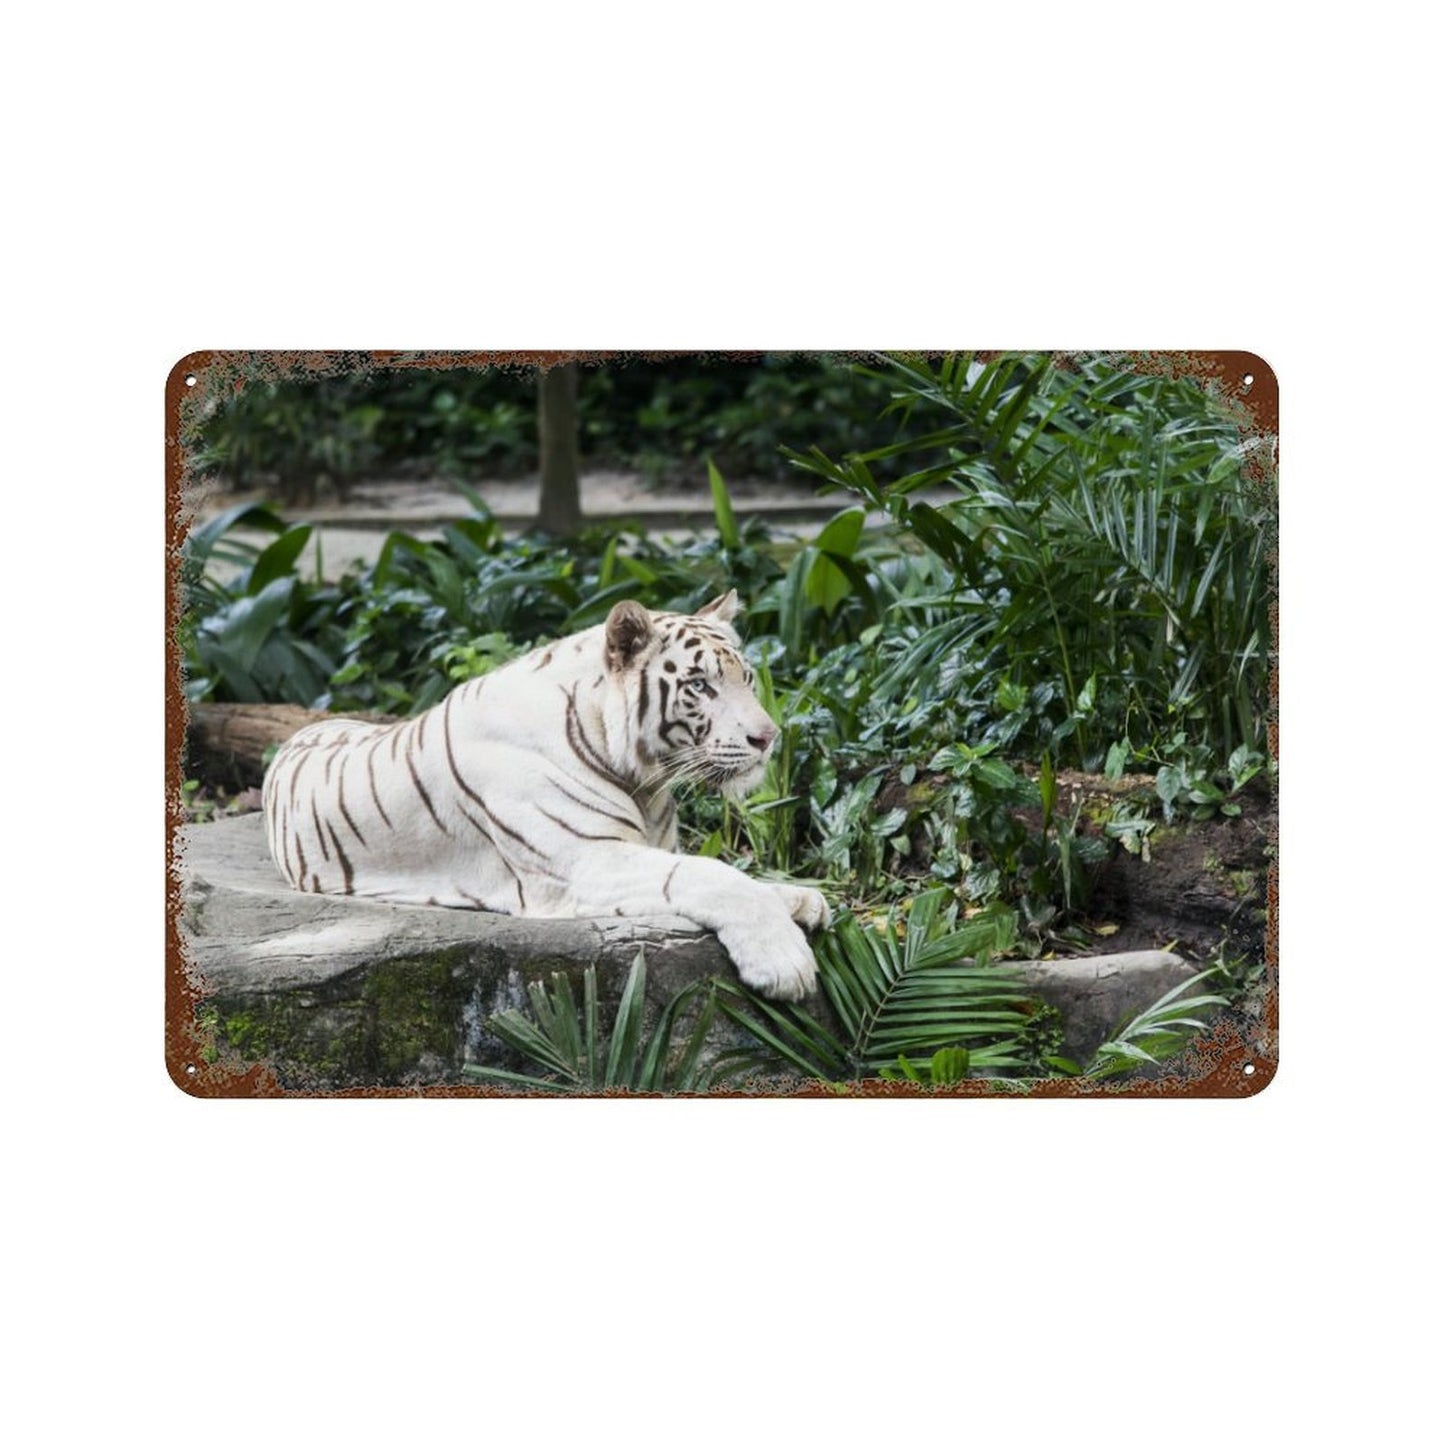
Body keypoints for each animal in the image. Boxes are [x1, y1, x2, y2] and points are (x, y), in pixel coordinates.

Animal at [260, 590, 828, 1000]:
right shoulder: (585, 862)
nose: (768, 737)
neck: (641, 779)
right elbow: (710, 876)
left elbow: (736, 875)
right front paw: (784, 962)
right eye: (700, 686)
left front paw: (803, 900)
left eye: (747, 679)